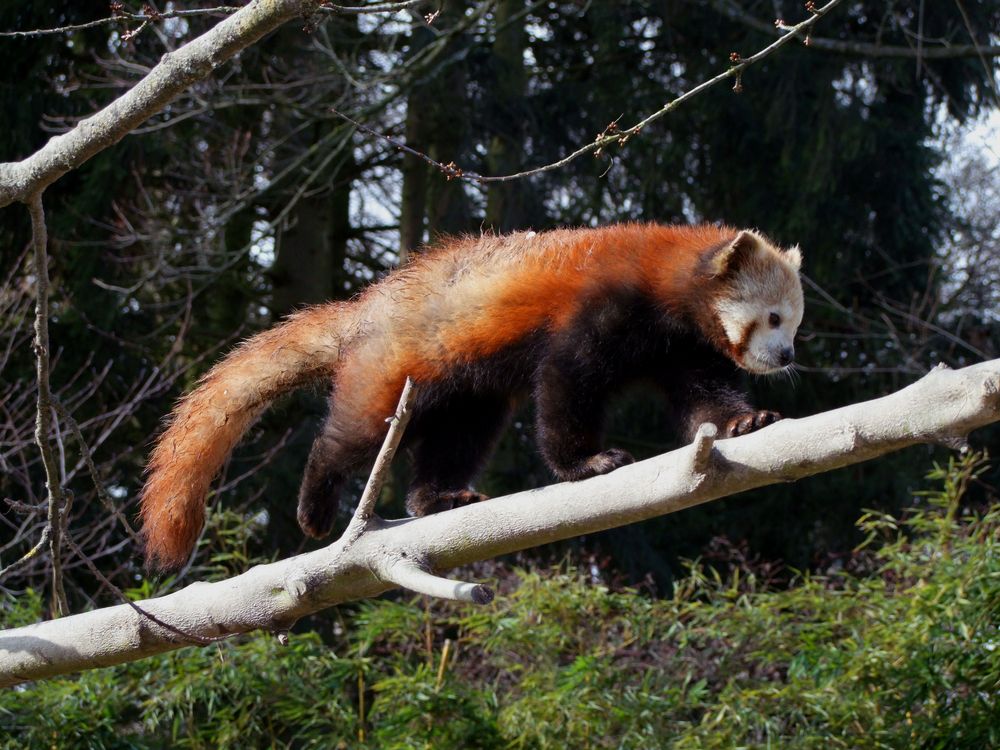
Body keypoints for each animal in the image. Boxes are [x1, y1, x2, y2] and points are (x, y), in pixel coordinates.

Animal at [143, 223, 804, 568]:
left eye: (794, 323)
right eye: (773, 318)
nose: (788, 356)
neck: (662, 279)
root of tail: (365, 309)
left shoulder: (681, 348)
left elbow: (703, 398)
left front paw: (745, 421)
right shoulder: (597, 311)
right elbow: (565, 387)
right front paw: (586, 462)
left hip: (468, 394)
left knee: (458, 441)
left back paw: (440, 497)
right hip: (400, 369)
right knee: (352, 433)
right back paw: (317, 503)